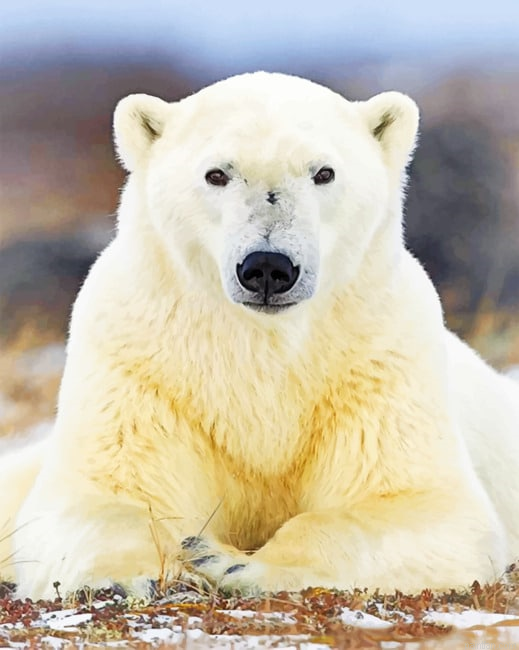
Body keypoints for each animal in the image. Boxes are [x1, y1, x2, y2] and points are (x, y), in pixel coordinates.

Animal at [1, 72, 518, 601]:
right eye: (217, 174)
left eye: (324, 172)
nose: (268, 267)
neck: (262, 338)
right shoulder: (141, 363)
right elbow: (99, 498)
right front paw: (128, 576)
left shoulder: (378, 362)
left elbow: (423, 507)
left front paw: (229, 562)